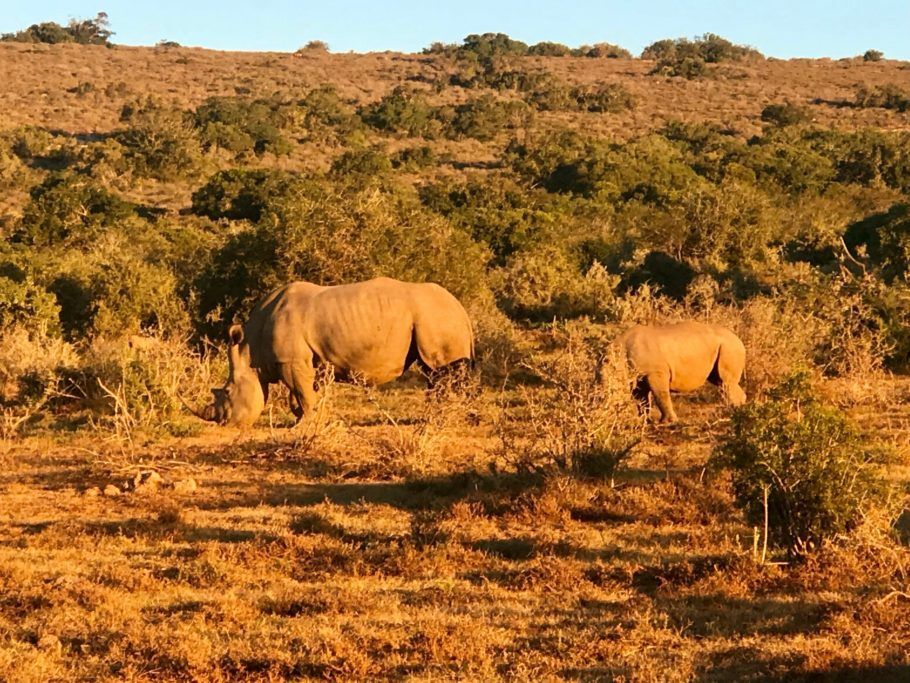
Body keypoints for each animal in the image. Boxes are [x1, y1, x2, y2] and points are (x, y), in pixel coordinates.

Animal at [195, 278, 474, 428]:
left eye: (227, 392)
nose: (222, 423)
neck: (251, 347)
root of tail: (461, 309)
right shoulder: (307, 361)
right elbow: (303, 394)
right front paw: (306, 420)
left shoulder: (291, 361)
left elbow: (302, 393)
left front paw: (303, 425)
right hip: (434, 318)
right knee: (433, 372)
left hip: (435, 317)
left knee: (440, 370)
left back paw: (441, 419)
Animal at [612, 320, 748, 422]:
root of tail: (738, 339)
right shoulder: (638, 377)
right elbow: (641, 399)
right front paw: (644, 421)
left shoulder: (655, 372)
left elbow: (661, 395)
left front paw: (667, 422)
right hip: (722, 346)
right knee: (720, 381)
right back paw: (738, 411)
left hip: (729, 346)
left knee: (726, 382)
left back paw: (733, 413)